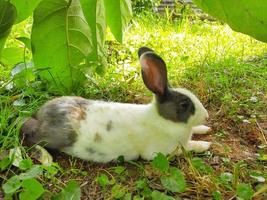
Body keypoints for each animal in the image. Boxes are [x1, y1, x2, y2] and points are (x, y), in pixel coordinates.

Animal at [21, 47, 211, 162]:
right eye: (184, 104)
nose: (206, 116)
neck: (162, 119)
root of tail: (41, 113)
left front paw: (205, 129)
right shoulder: (160, 152)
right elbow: (186, 148)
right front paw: (205, 145)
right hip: (52, 135)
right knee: (27, 133)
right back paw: (45, 158)